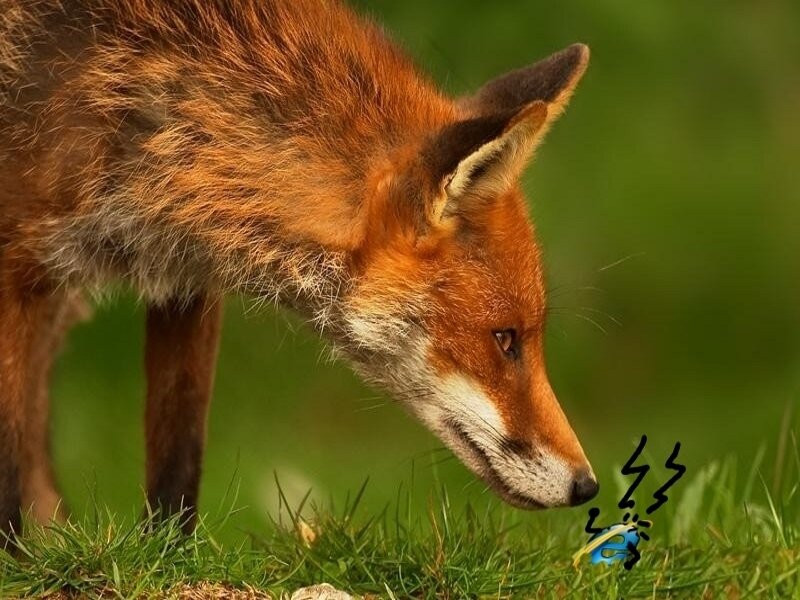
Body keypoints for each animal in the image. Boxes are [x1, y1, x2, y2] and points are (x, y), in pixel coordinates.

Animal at [0, 0, 599, 539]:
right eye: (505, 339)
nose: (587, 485)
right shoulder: (17, 267)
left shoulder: (188, 278)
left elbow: (179, 460)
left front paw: (166, 553)